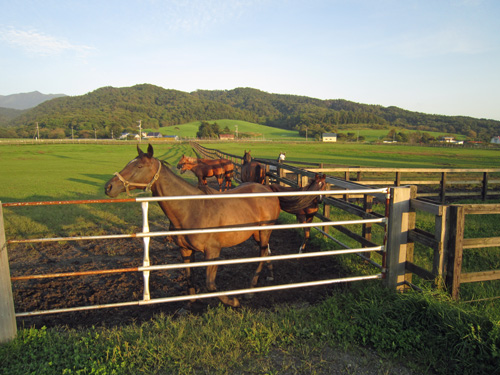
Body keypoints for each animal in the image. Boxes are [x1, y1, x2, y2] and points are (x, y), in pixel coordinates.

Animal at [105, 145, 282, 306]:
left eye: (139, 166)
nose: (109, 187)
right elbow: (189, 278)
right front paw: (190, 305)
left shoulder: (212, 251)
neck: (190, 208)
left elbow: (210, 285)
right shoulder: (185, 250)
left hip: (264, 232)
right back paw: (270, 275)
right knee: (266, 252)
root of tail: (268, 189)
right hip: (256, 234)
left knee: (261, 254)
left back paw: (250, 290)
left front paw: (233, 301)